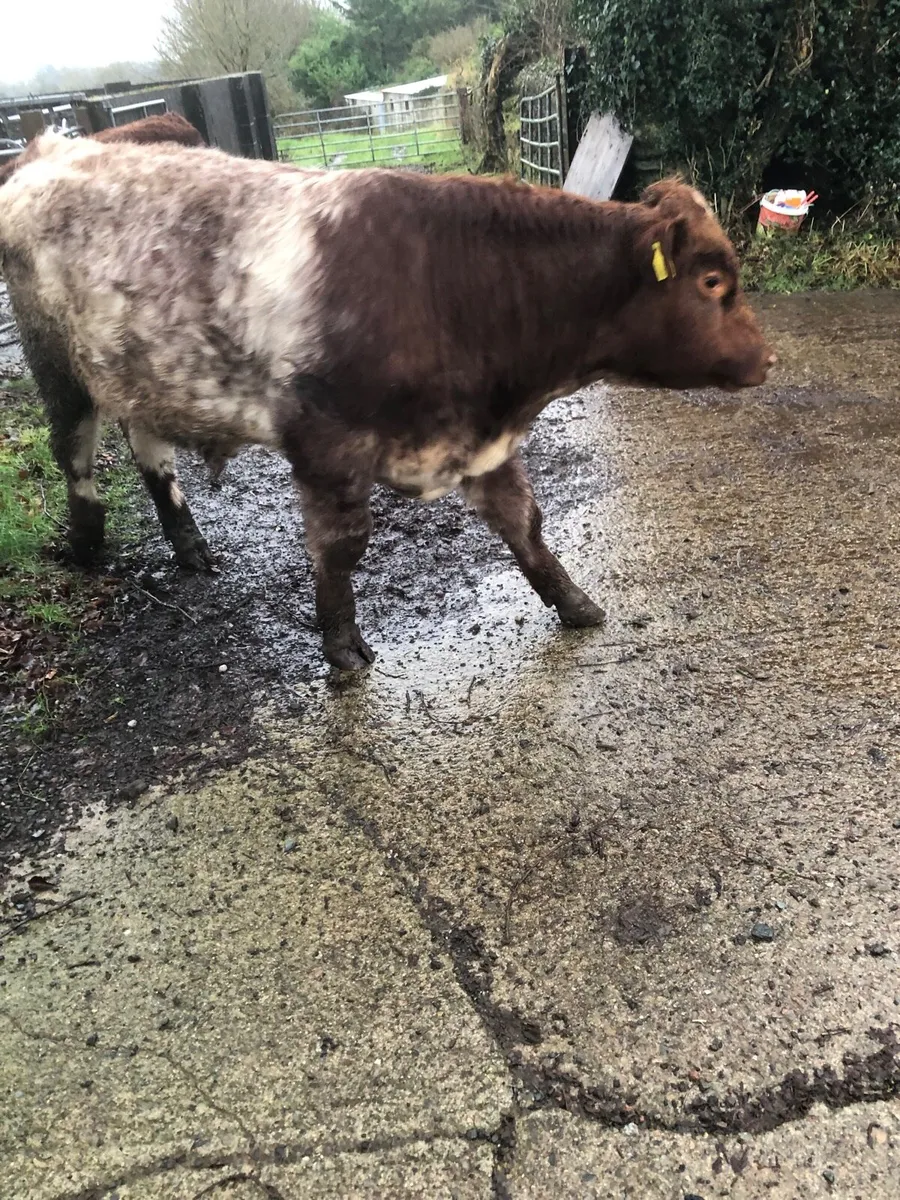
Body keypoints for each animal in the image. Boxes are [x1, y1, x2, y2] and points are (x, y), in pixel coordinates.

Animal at [0, 134, 775, 670]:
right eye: (711, 281)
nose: (768, 357)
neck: (450, 283)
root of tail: (56, 147)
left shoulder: (479, 438)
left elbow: (524, 524)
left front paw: (575, 604)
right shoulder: (325, 443)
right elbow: (341, 547)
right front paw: (342, 646)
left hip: (137, 371)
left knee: (149, 449)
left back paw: (190, 545)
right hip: (57, 364)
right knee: (73, 452)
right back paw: (86, 545)